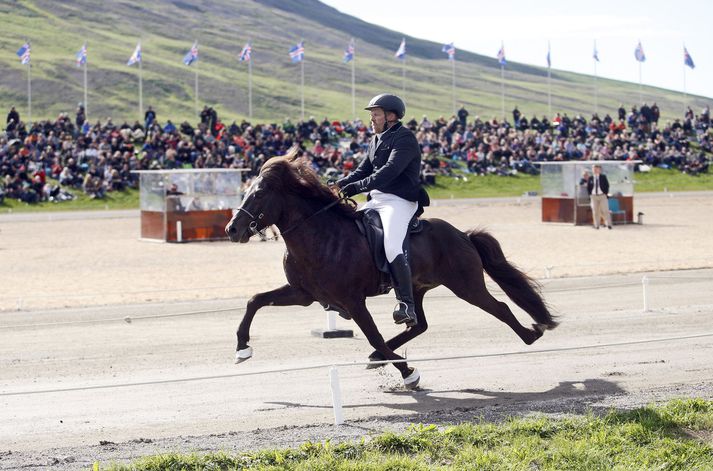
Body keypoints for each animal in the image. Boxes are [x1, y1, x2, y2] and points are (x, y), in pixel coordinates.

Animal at [227, 149, 556, 390]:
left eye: (259, 194)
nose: (232, 230)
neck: (320, 236)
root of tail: (462, 235)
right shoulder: (303, 294)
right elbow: (255, 300)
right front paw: (242, 348)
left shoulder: (353, 301)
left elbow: (372, 334)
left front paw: (408, 373)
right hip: (416, 289)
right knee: (418, 324)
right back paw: (380, 356)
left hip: (467, 286)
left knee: (500, 307)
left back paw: (532, 333)